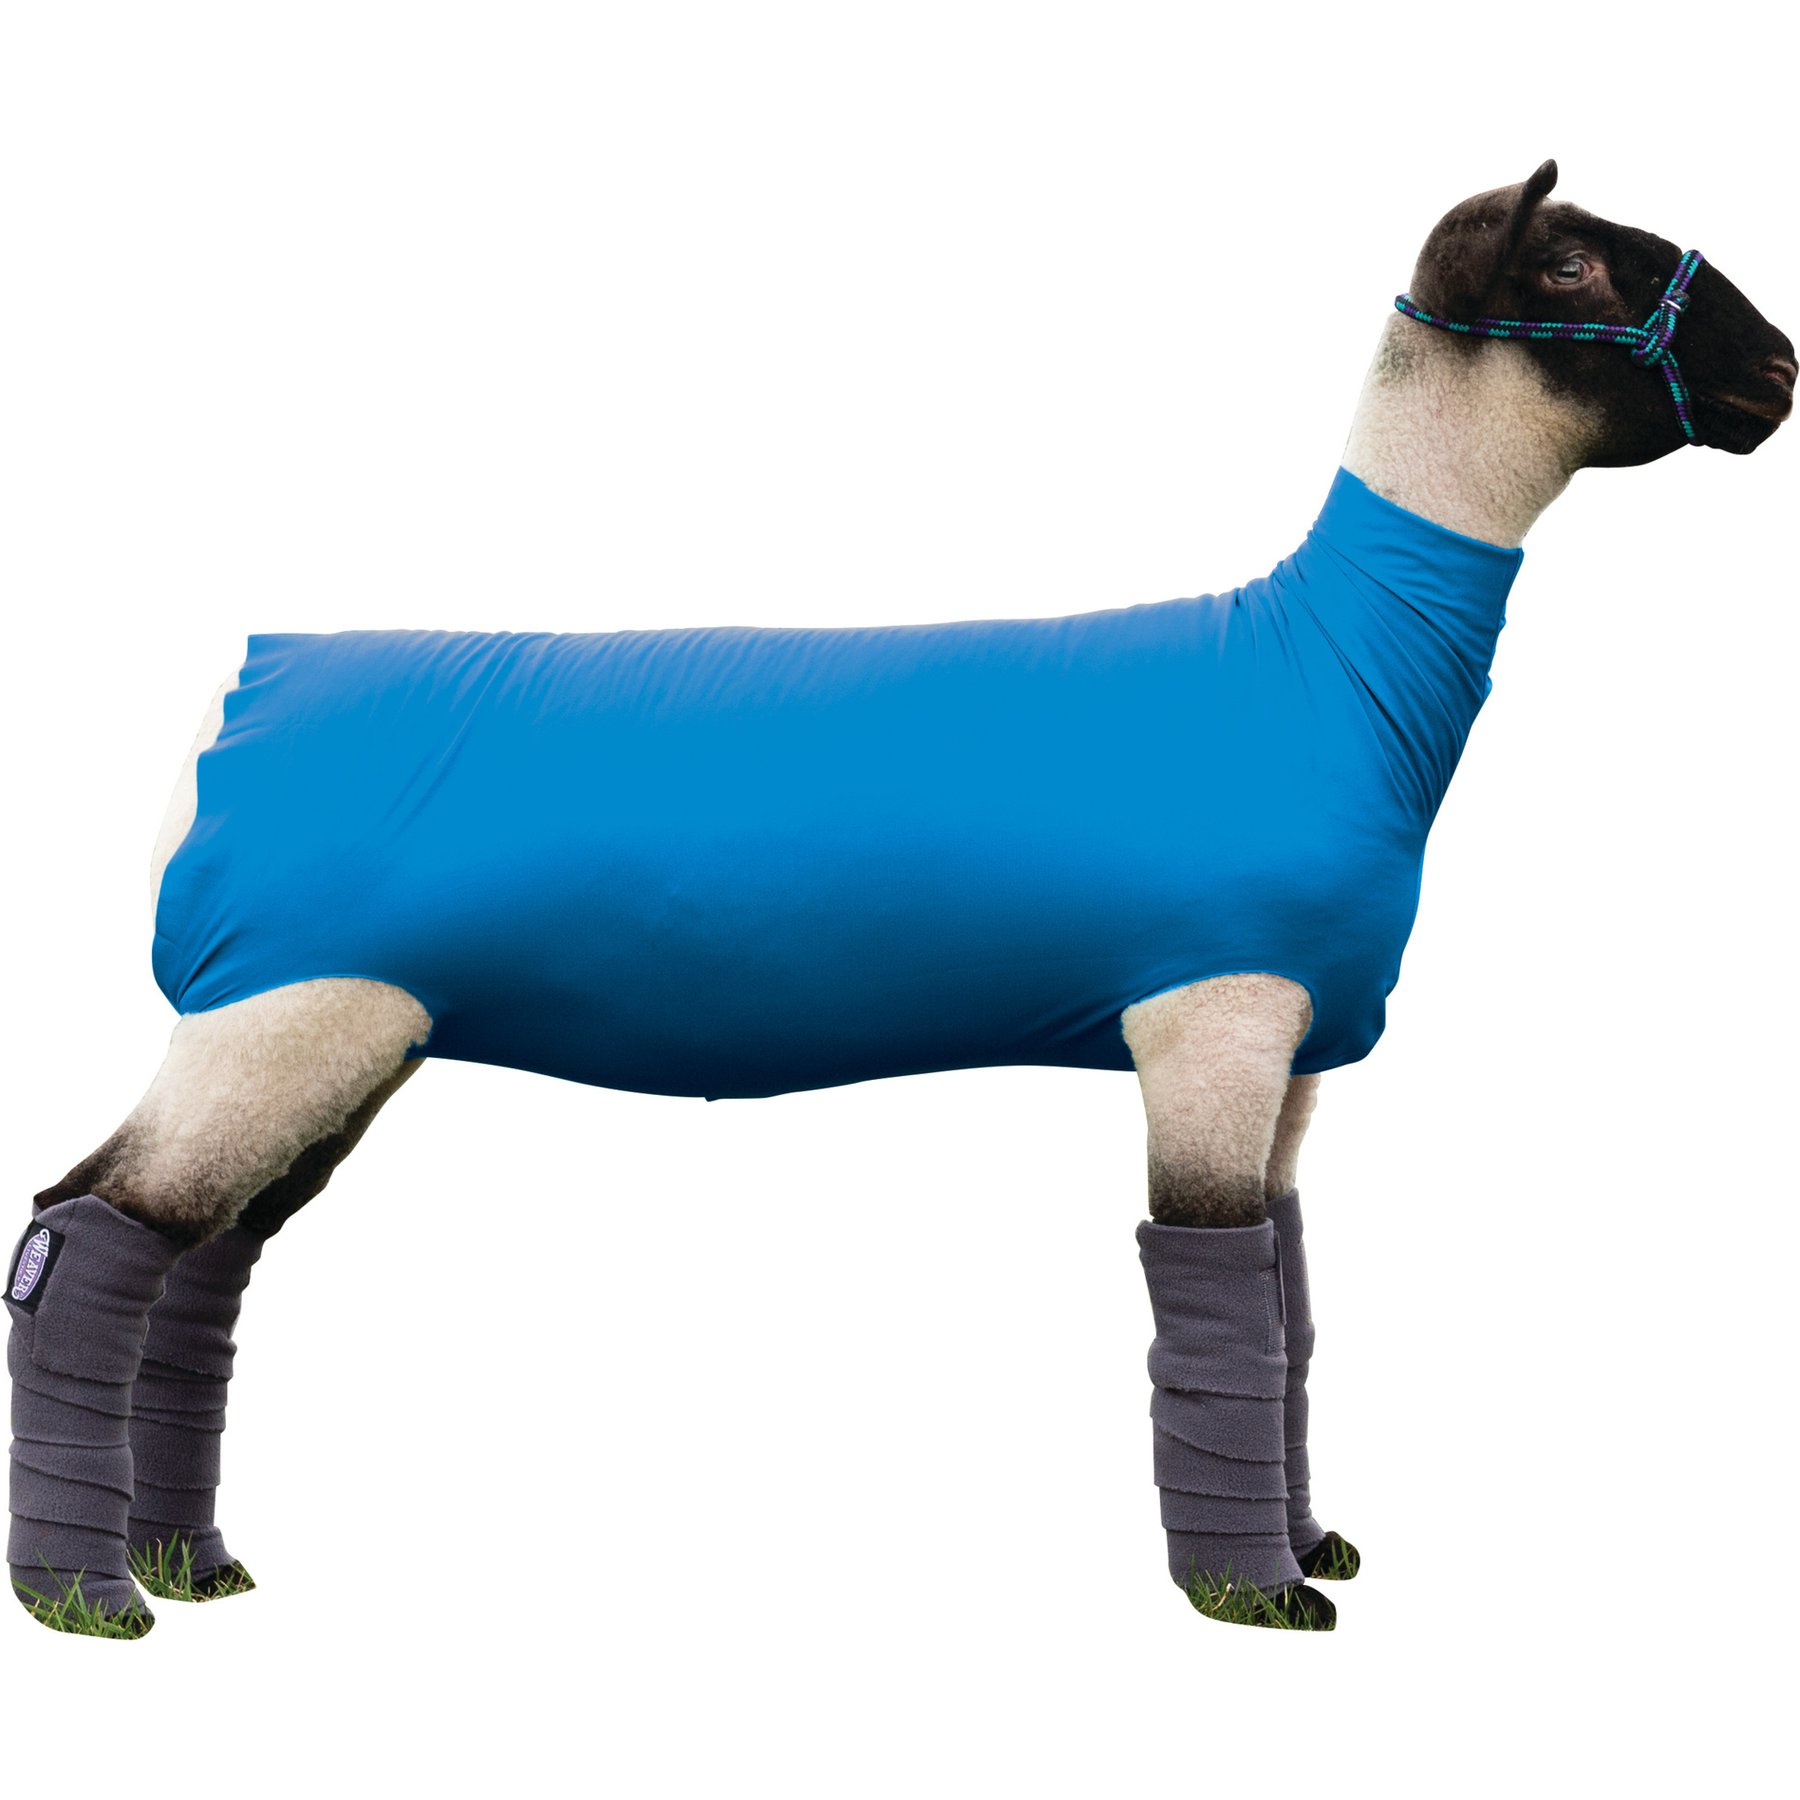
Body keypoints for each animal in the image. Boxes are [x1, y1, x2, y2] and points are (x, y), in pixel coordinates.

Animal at [7, 160, 1792, 1637]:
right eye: (1569, 258)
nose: (1779, 371)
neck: (1332, 665)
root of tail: (233, 705)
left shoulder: (1293, 1057)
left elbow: (1286, 1304)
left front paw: (1310, 1544)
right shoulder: (1211, 1021)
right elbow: (1212, 1299)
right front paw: (1254, 1594)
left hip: (343, 1035)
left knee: (204, 1266)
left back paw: (191, 1564)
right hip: (275, 1017)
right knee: (89, 1234)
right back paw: (90, 1600)